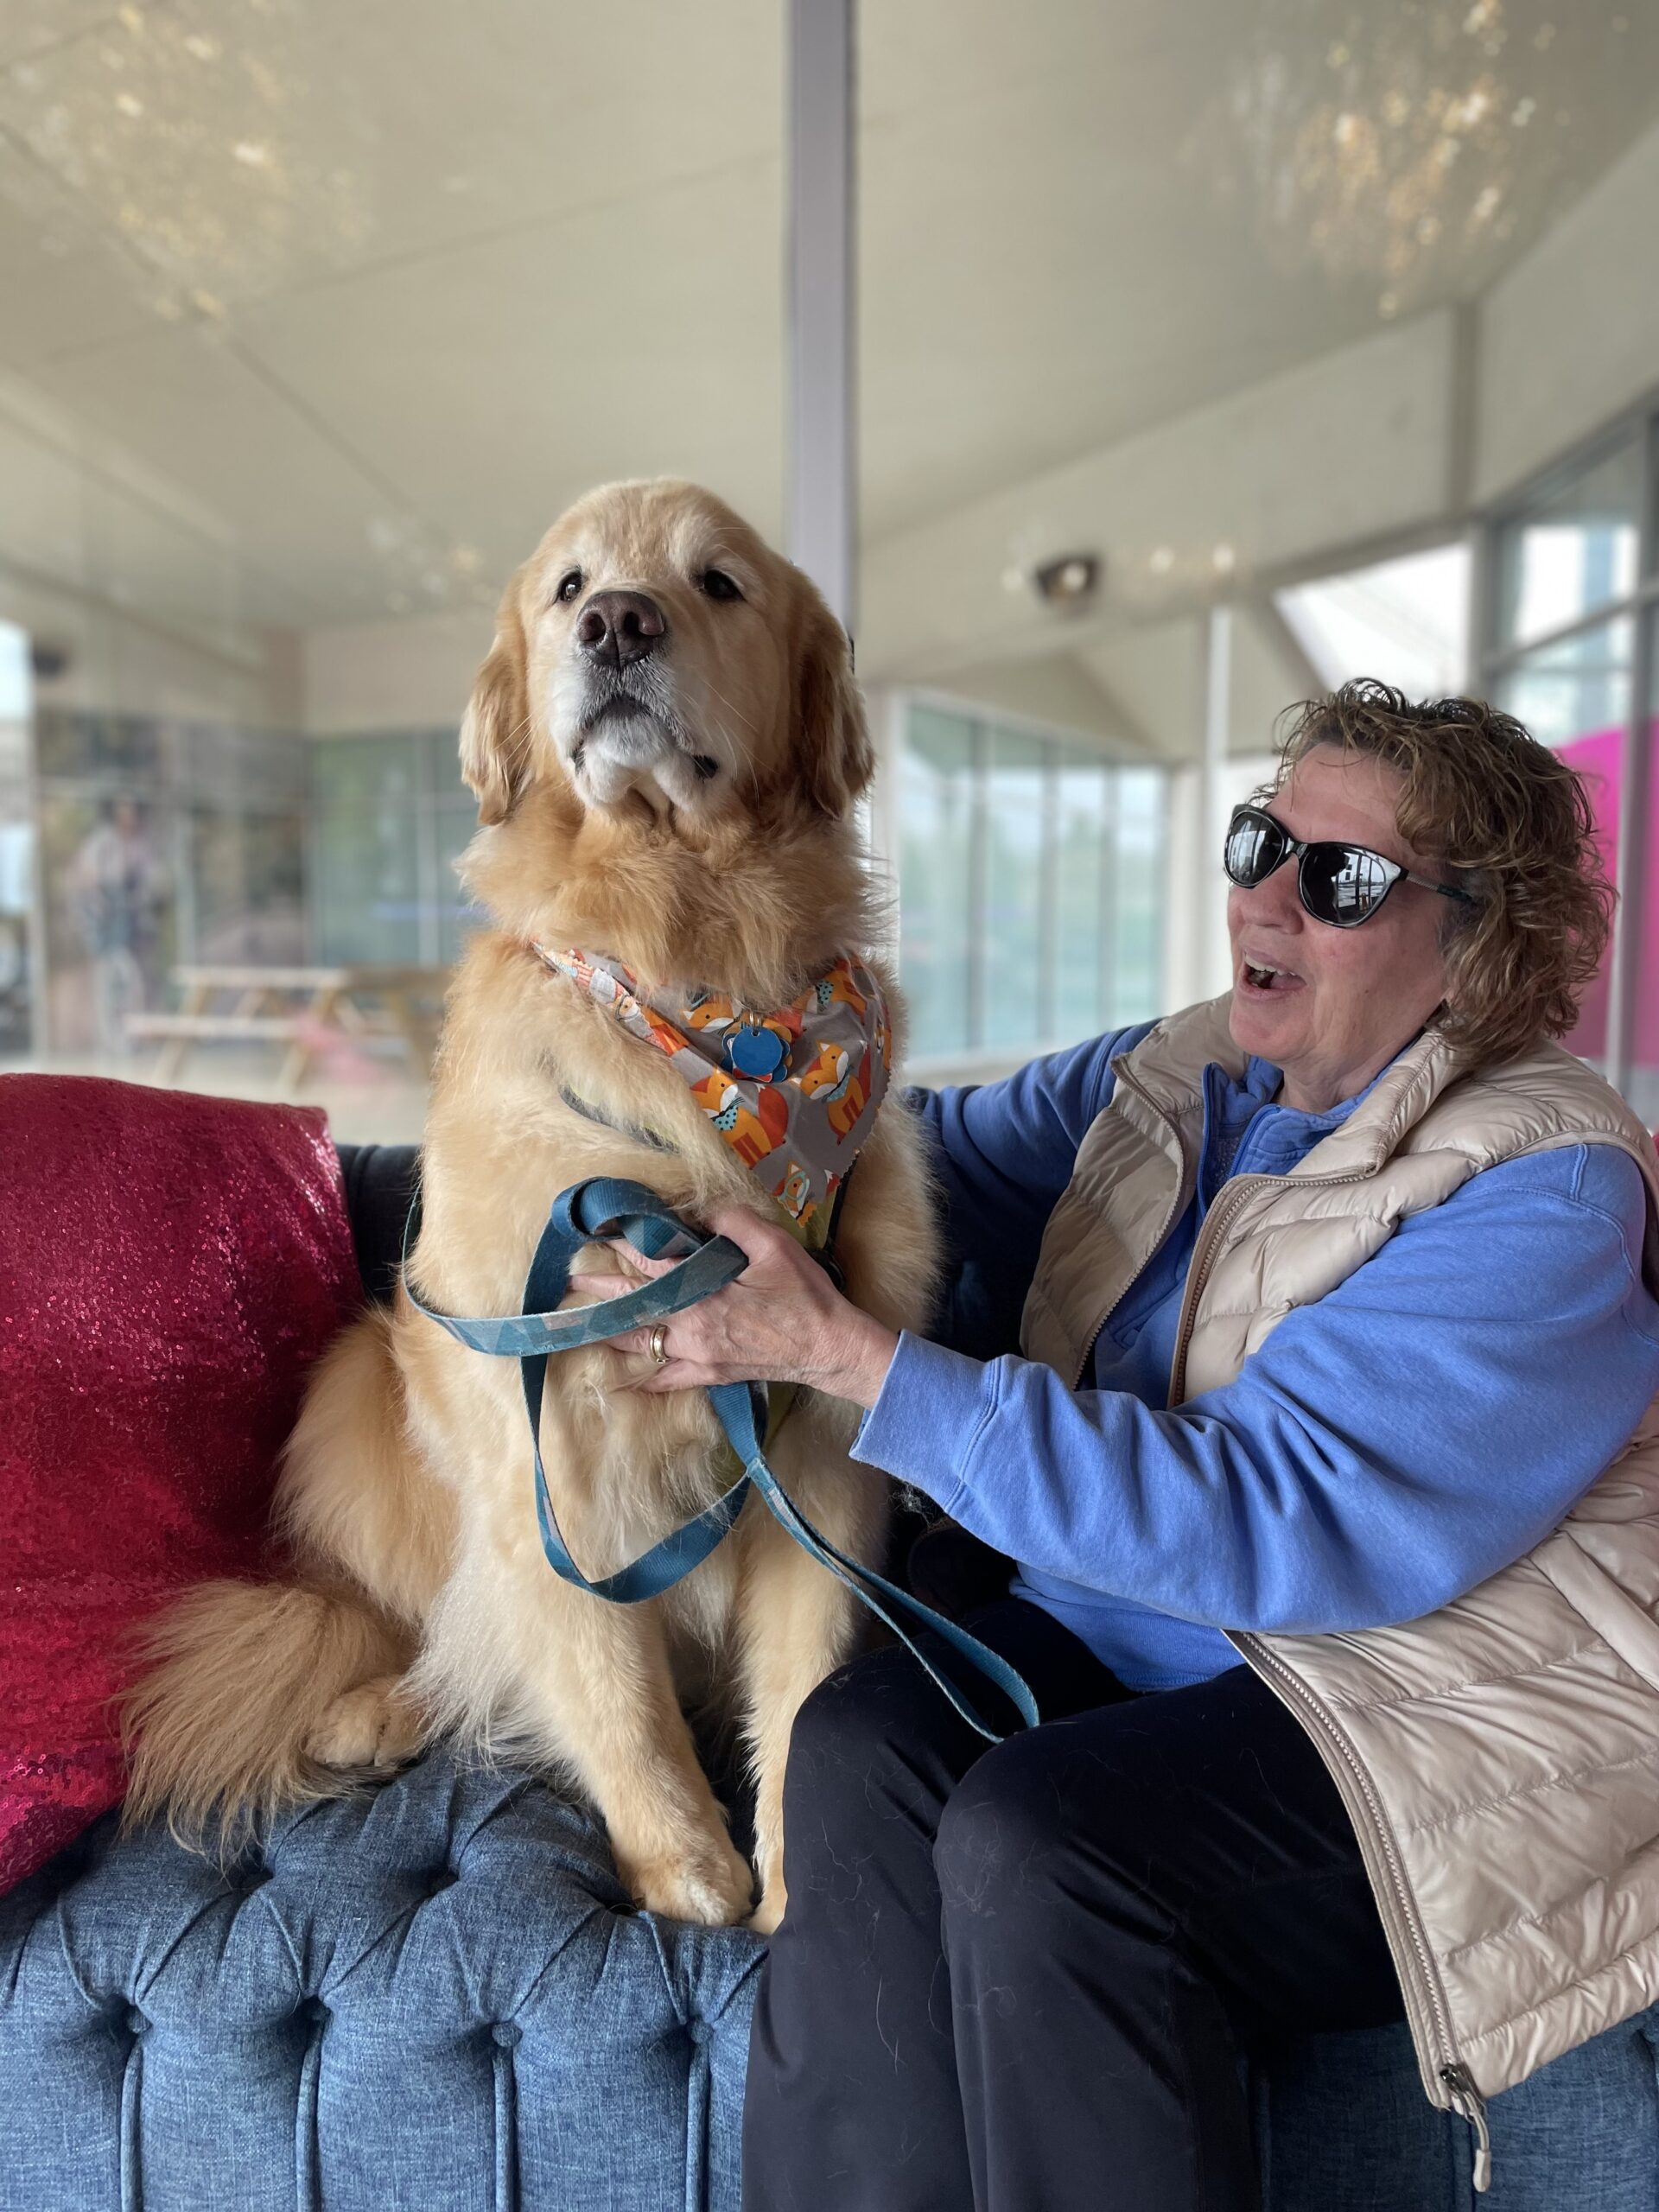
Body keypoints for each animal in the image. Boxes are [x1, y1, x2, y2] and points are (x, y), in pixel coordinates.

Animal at [121, 475, 938, 1929]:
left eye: (718, 582)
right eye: (569, 589)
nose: (618, 623)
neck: (690, 960)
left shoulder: (820, 1457)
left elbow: (804, 1689)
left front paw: (789, 1892)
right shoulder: (548, 1449)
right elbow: (612, 1693)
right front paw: (687, 1880)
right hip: (356, 1384)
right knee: (414, 1629)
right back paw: (377, 1709)